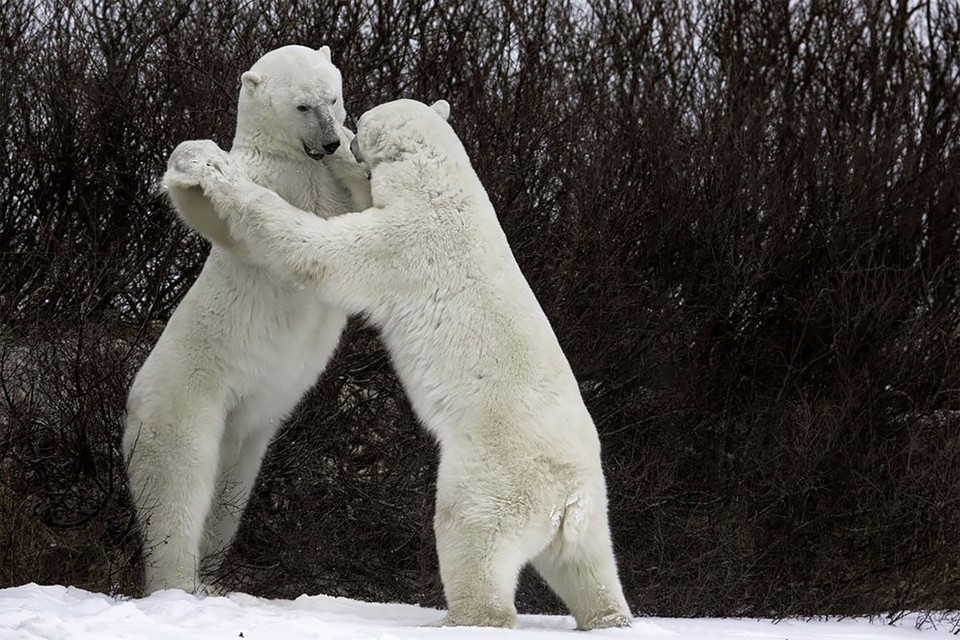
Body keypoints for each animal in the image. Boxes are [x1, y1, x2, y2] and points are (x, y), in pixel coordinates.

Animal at [122, 45, 370, 596]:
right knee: (178, 489)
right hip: (186, 403)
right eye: (301, 106)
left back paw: (214, 577)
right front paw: (196, 160)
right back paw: (179, 582)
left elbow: (364, 209)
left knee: (229, 497)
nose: (328, 141)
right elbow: (219, 212)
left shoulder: (326, 184)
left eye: (333, 97)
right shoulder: (270, 179)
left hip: (249, 431)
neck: (296, 160)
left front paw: (357, 150)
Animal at [161, 97, 632, 628]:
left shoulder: (406, 243)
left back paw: (459, 617)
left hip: (494, 475)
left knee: (471, 533)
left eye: (363, 119)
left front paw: (217, 172)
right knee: (588, 566)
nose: (345, 136)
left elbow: (321, 250)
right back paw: (609, 616)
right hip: (592, 511)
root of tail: (567, 498)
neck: (443, 186)